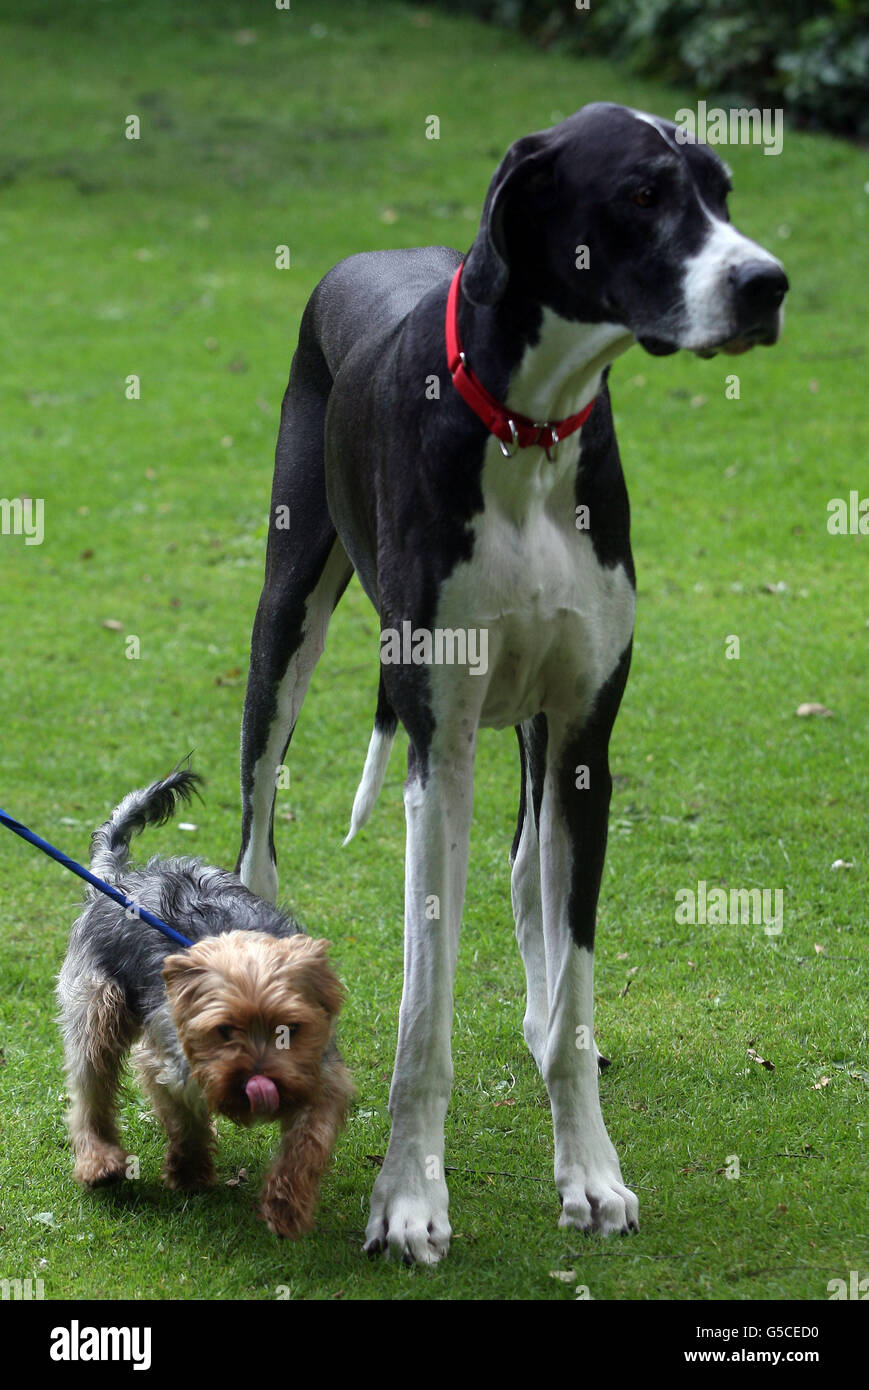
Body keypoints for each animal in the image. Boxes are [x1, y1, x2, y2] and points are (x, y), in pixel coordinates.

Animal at [56, 772, 353, 1239]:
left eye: (288, 1030)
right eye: (223, 1031)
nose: (257, 1082)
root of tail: (119, 880)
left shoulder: (321, 1072)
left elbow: (310, 1138)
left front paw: (286, 1205)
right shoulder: (166, 1059)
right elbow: (184, 1119)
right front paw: (191, 1171)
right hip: (96, 1004)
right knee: (90, 1087)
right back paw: (100, 1163)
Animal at [234, 102, 784, 1267]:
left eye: (720, 187)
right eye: (641, 194)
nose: (766, 284)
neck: (531, 428)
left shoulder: (582, 744)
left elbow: (568, 982)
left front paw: (590, 1173)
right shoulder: (438, 754)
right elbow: (422, 1015)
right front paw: (406, 1198)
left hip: (530, 730)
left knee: (533, 875)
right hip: (284, 622)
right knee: (257, 821)